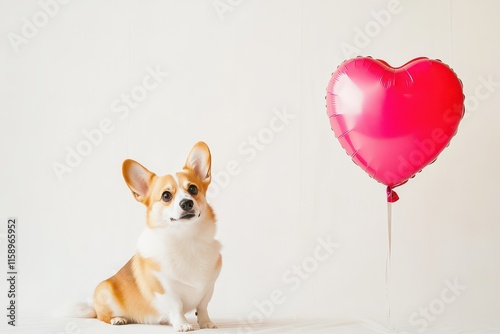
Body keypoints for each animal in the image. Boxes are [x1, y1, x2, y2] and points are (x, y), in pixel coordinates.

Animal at [92, 142, 221, 332]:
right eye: (166, 196)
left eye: (193, 189)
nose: (187, 203)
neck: (186, 239)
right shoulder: (164, 288)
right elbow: (176, 306)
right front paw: (182, 325)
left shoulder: (209, 287)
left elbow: (203, 307)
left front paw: (206, 323)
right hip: (104, 292)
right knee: (103, 317)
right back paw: (118, 319)